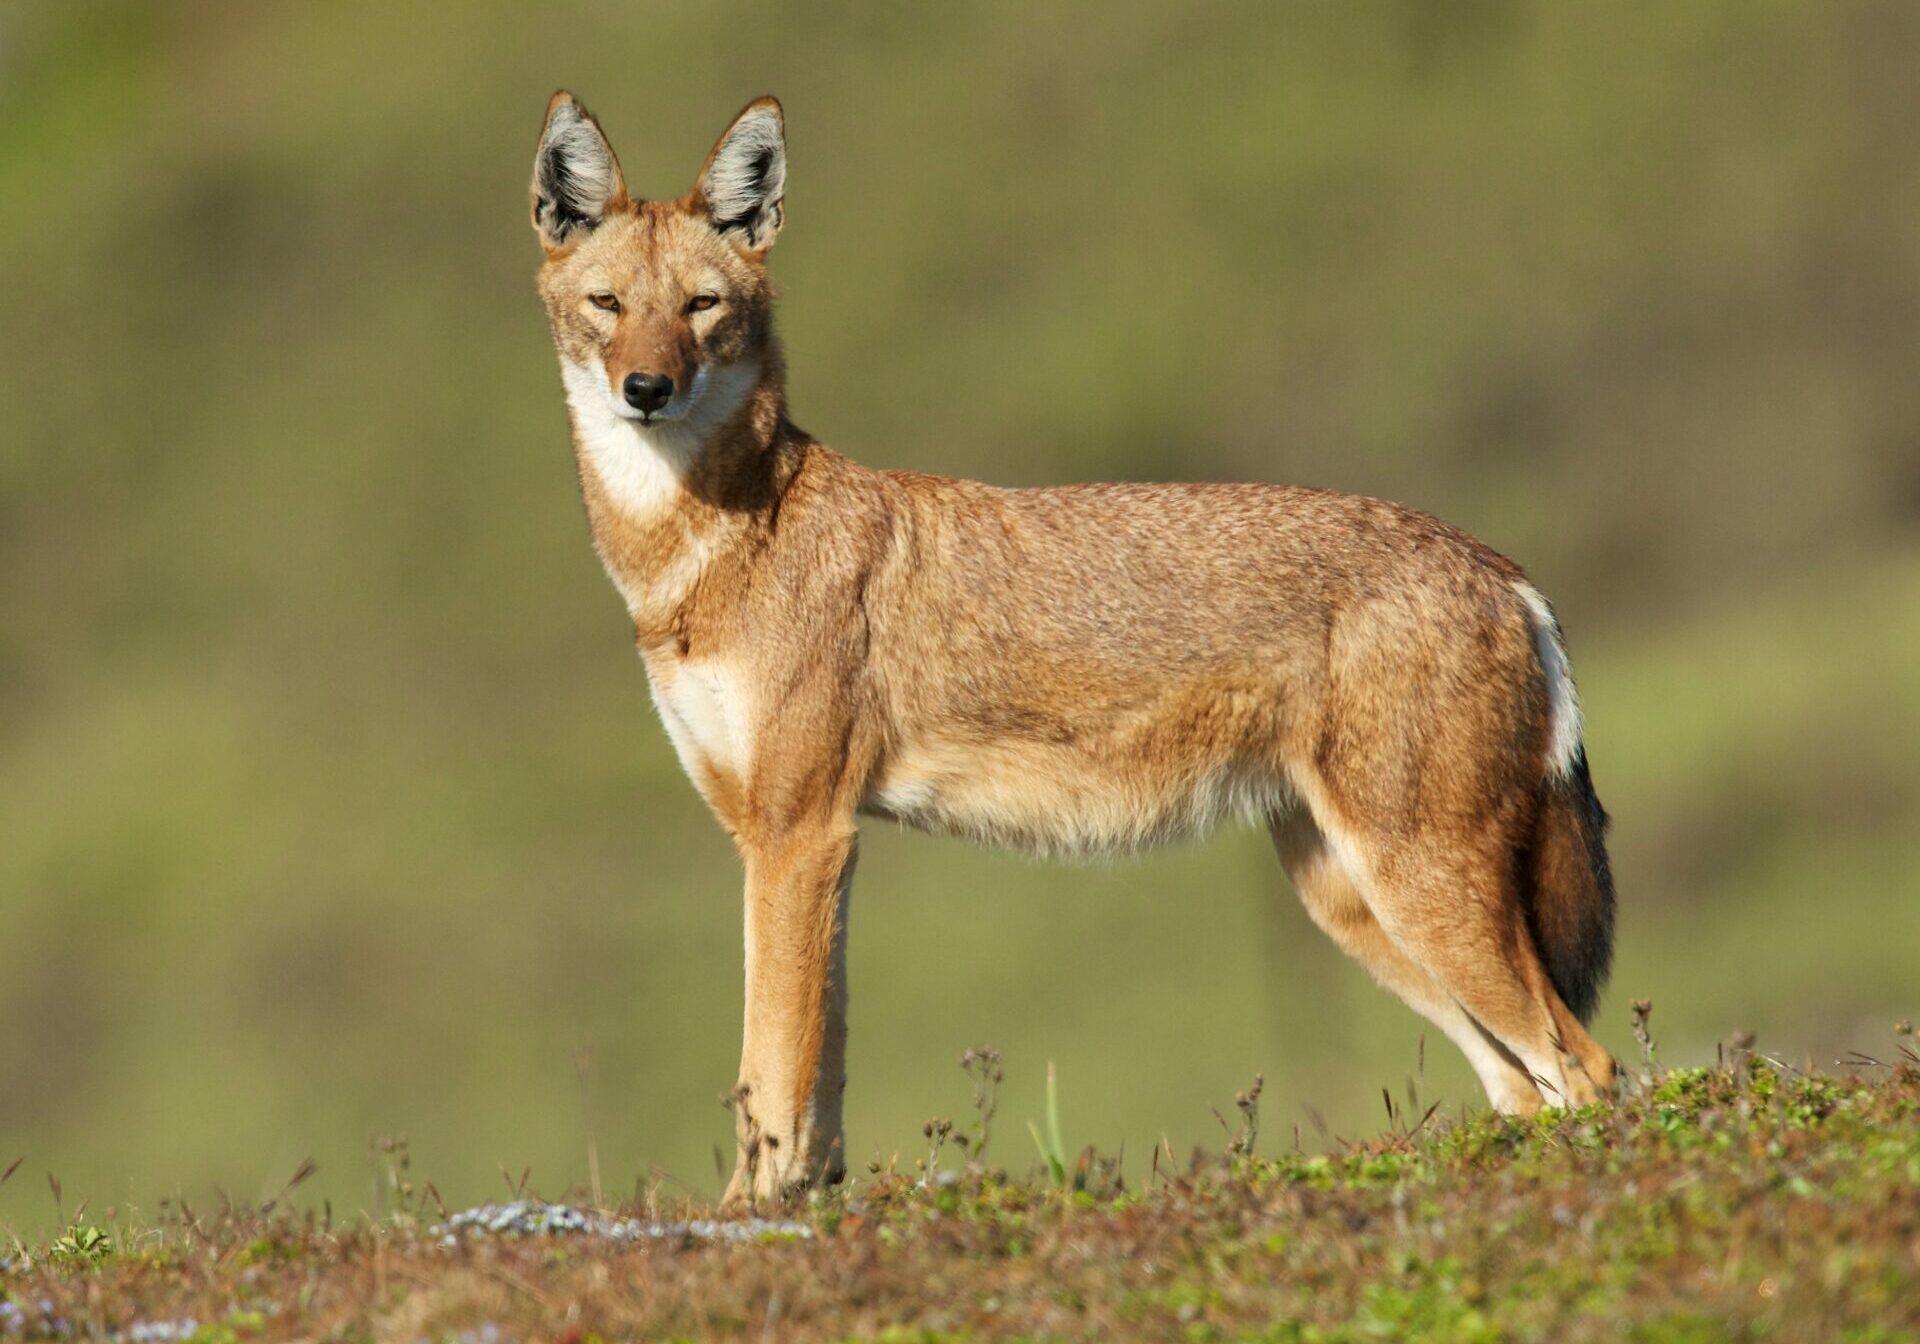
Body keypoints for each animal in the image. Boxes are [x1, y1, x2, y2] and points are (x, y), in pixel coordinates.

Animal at [529, 96, 1620, 1205]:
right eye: (608, 304)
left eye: (701, 307)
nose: (647, 387)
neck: (706, 551)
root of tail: (1506, 572)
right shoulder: (798, 842)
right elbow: (815, 1076)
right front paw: (806, 1206)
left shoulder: (799, 836)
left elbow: (771, 1071)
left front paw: (750, 1216)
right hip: (1353, 907)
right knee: (1522, 1085)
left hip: (1420, 895)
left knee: (1589, 1068)